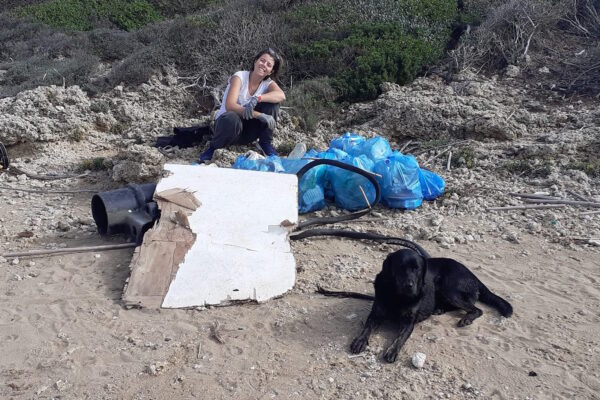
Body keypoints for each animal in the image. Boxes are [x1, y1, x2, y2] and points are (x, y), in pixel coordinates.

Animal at [350, 248, 512, 364]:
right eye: (400, 267)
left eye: (417, 269)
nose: (409, 286)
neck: (398, 296)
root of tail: (474, 277)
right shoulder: (376, 314)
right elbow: (367, 327)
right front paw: (360, 341)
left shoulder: (408, 322)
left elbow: (400, 338)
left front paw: (392, 351)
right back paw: (439, 309)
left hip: (448, 287)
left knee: (476, 309)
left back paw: (466, 318)